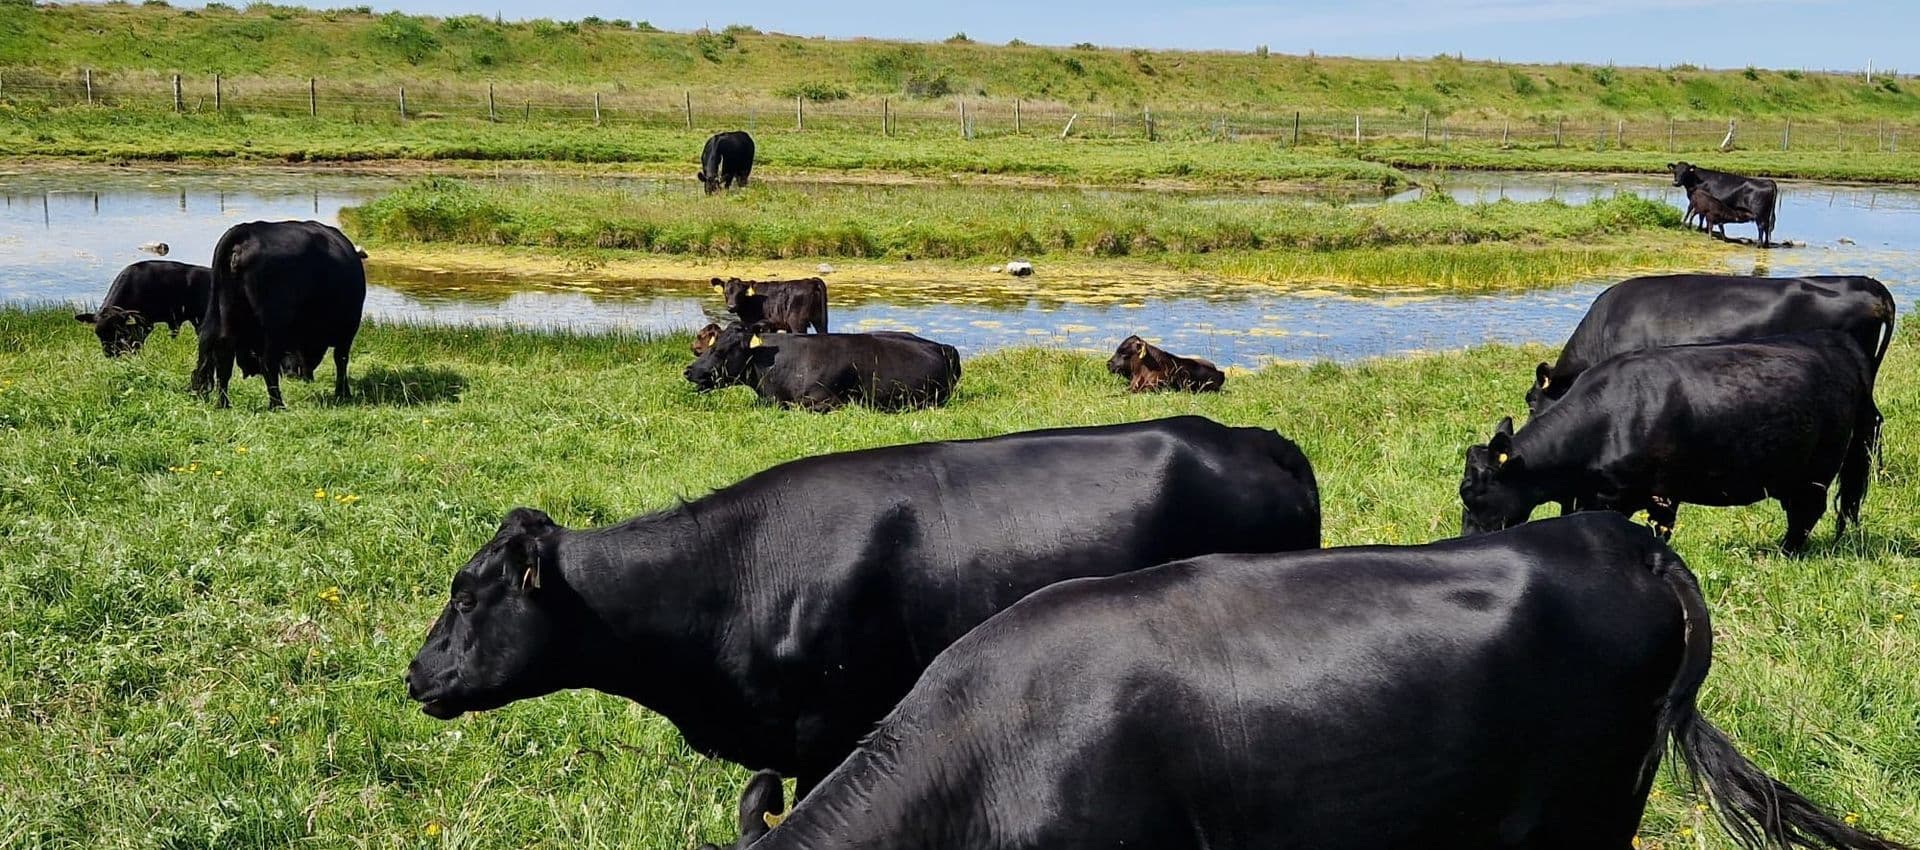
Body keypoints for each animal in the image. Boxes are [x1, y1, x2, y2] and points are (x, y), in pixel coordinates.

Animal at [189, 220, 366, 410]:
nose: (303, 376)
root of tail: (246, 231)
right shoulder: (349, 327)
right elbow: (341, 359)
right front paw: (343, 393)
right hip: (273, 327)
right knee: (267, 362)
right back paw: (277, 404)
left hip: (224, 312)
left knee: (222, 355)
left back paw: (223, 403)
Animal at [1469, 332, 1879, 552]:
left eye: (1473, 497)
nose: (1466, 539)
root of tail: (1838, 347)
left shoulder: (1657, 494)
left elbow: (1658, 531)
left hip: (1816, 471)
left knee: (1807, 512)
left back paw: (1786, 551)